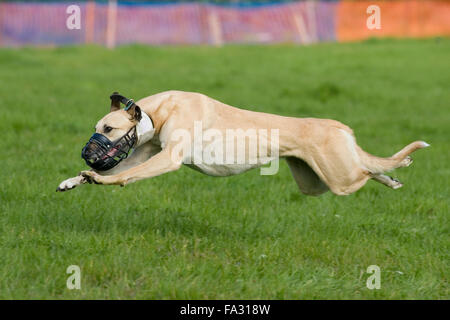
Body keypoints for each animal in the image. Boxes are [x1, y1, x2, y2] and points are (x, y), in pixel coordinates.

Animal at [56, 89, 428, 195]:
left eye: (108, 128)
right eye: (98, 126)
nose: (87, 153)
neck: (158, 112)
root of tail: (339, 126)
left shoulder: (169, 157)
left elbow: (124, 175)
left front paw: (96, 177)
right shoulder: (145, 152)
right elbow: (123, 167)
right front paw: (73, 179)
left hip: (339, 180)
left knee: (365, 171)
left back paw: (397, 168)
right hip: (314, 182)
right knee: (368, 168)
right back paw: (392, 179)